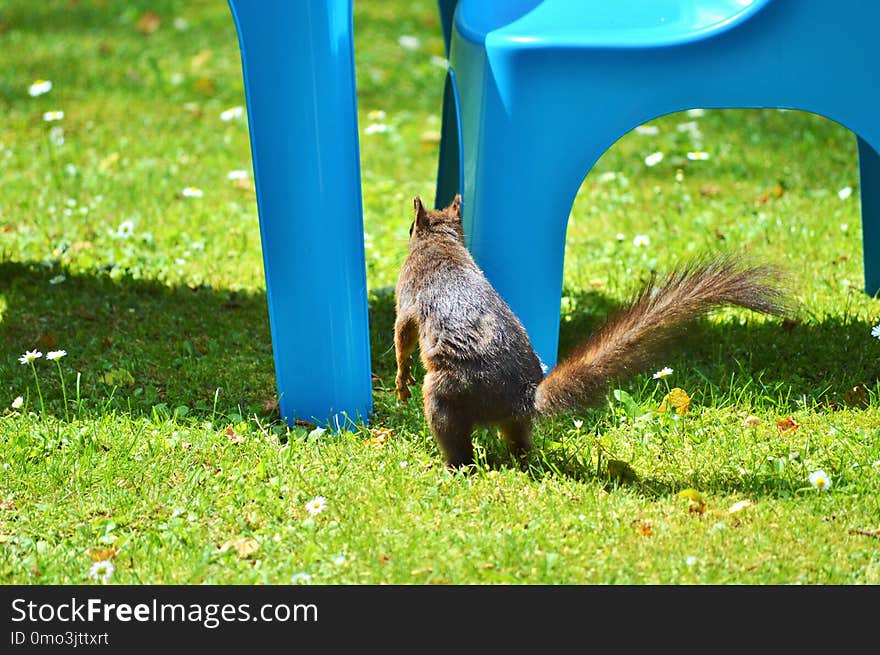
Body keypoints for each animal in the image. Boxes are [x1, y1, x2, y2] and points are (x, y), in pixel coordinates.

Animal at [394, 192, 792, 468]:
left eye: (410, 227)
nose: (407, 230)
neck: (441, 242)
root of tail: (521, 397)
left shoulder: (409, 294)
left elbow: (402, 334)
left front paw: (400, 378)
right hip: (510, 421)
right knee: (520, 442)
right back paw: (522, 460)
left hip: (446, 394)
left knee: (457, 443)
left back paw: (451, 466)